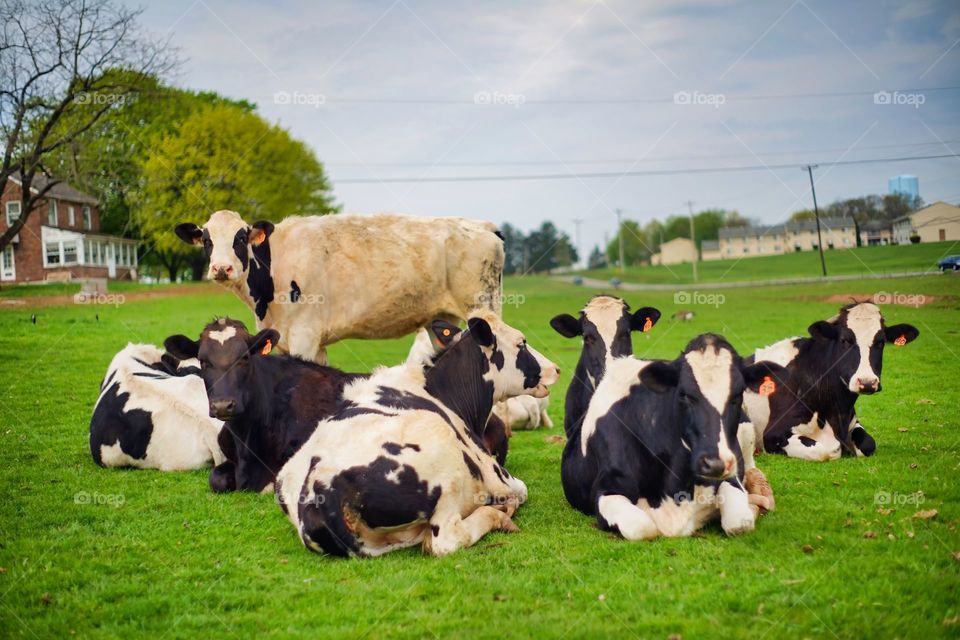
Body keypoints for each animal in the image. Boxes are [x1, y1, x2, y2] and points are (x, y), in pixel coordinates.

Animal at [174, 210, 505, 365]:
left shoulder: (304, 336)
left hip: (483, 307)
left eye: (241, 238)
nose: (221, 268)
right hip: (443, 321)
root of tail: (483, 226)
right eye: (207, 240)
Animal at [273, 311, 560, 557]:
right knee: (445, 541)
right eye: (521, 343)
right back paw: (499, 515)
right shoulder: (496, 475)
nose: (556, 368)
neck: (442, 392)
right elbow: (521, 491)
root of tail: (319, 490)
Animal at [561, 334, 786, 540]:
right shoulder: (604, 490)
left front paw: (752, 506)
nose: (715, 463)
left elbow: (739, 522)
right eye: (684, 394)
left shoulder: (730, 476)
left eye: (738, 394)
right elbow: (641, 527)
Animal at [743, 301, 919, 461]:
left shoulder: (853, 421)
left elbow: (868, 443)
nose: (867, 382)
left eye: (880, 342)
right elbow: (827, 450)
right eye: (845, 340)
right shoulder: (772, 434)